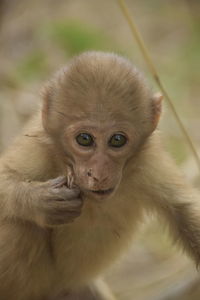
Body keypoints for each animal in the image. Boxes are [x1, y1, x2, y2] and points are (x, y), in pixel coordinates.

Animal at [0, 50, 200, 298]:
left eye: (117, 140)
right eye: (84, 139)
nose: (99, 173)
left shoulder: (148, 161)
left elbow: (183, 209)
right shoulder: (37, 147)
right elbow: (5, 179)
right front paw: (40, 202)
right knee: (19, 228)